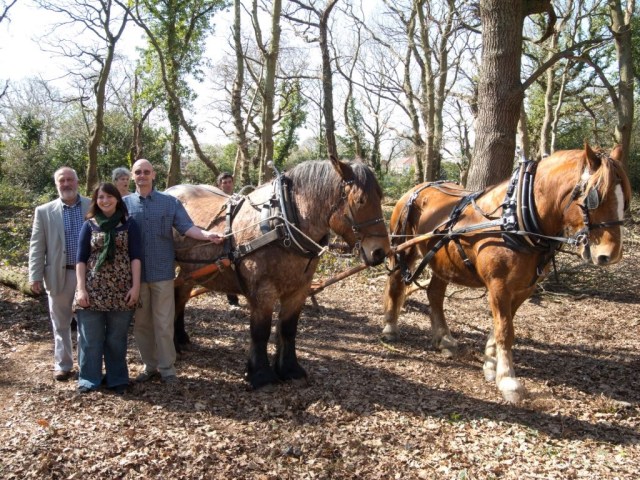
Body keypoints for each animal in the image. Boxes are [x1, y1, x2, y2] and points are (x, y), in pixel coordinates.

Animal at [167, 157, 390, 390]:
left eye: (380, 196)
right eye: (361, 200)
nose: (380, 251)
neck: (281, 223)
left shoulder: (299, 290)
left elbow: (288, 329)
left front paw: (290, 369)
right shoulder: (262, 292)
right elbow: (260, 332)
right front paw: (260, 375)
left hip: (189, 271)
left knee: (180, 297)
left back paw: (181, 338)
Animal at [382, 144, 631, 403]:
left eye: (626, 198)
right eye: (594, 198)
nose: (610, 254)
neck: (514, 219)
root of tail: (415, 189)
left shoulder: (524, 288)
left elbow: (502, 326)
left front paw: (491, 364)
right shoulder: (498, 285)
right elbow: (505, 330)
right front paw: (507, 379)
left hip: (442, 260)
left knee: (435, 295)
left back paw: (444, 339)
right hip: (404, 248)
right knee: (396, 282)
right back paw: (390, 326)